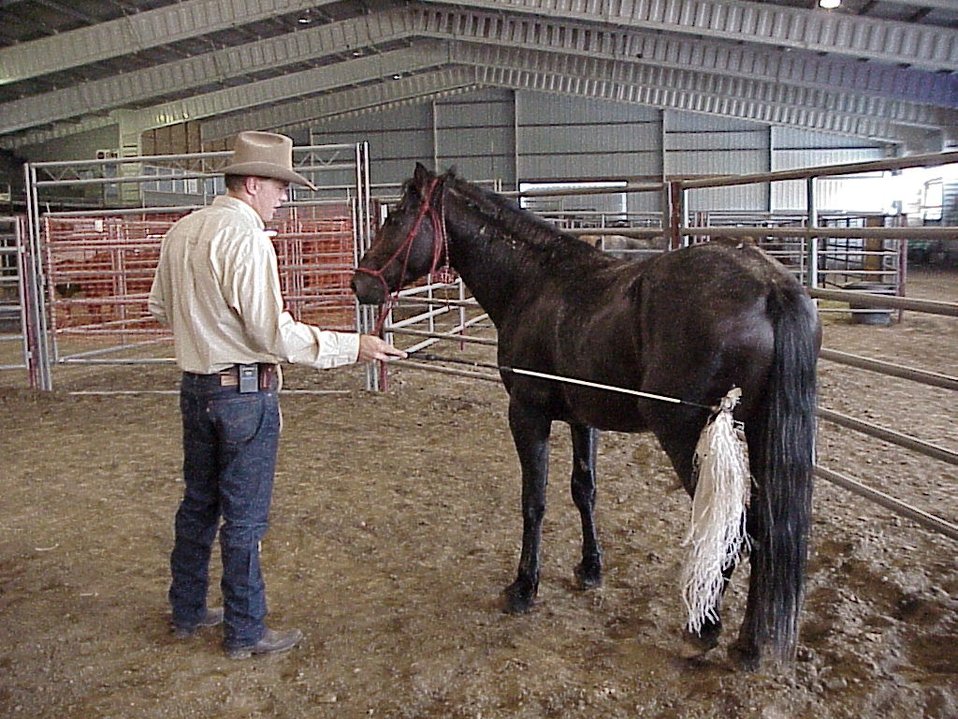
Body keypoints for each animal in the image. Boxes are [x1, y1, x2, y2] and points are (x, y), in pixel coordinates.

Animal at [356, 163, 820, 668]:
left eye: (396, 216)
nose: (360, 283)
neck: (535, 282)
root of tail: (770, 286)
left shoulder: (528, 414)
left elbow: (534, 501)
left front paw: (524, 587)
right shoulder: (583, 418)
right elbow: (584, 490)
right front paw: (590, 567)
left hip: (686, 436)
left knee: (737, 529)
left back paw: (708, 629)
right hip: (757, 432)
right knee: (765, 529)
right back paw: (748, 643)